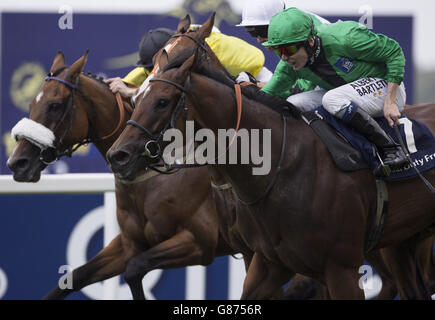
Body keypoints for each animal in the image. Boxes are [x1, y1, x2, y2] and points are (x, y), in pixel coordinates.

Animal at [107, 20, 435, 300]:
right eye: (137, 100)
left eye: (162, 102)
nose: (118, 155)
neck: (282, 165)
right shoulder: (268, 262)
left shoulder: (341, 268)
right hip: (403, 241)